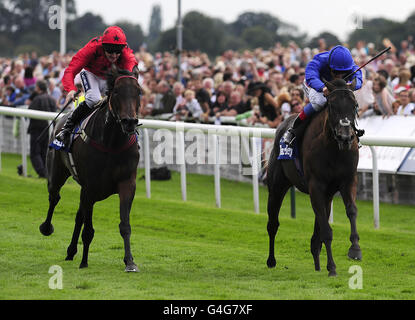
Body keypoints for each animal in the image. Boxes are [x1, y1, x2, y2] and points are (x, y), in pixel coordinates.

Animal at [39, 65, 143, 272]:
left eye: (138, 92)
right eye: (116, 91)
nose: (129, 122)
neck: (111, 142)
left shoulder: (127, 183)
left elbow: (124, 225)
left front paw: (130, 262)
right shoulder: (90, 187)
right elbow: (88, 230)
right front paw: (84, 261)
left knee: (79, 215)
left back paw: (71, 251)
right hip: (56, 173)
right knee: (54, 198)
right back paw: (47, 228)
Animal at [268, 79, 362, 276]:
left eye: (355, 105)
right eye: (332, 106)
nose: (345, 137)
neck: (334, 149)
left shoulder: (348, 180)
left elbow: (351, 211)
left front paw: (355, 249)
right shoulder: (316, 185)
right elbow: (326, 231)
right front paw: (332, 267)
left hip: (327, 195)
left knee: (317, 231)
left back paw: (318, 264)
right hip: (277, 185)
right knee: (273, 224)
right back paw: (271, 261)